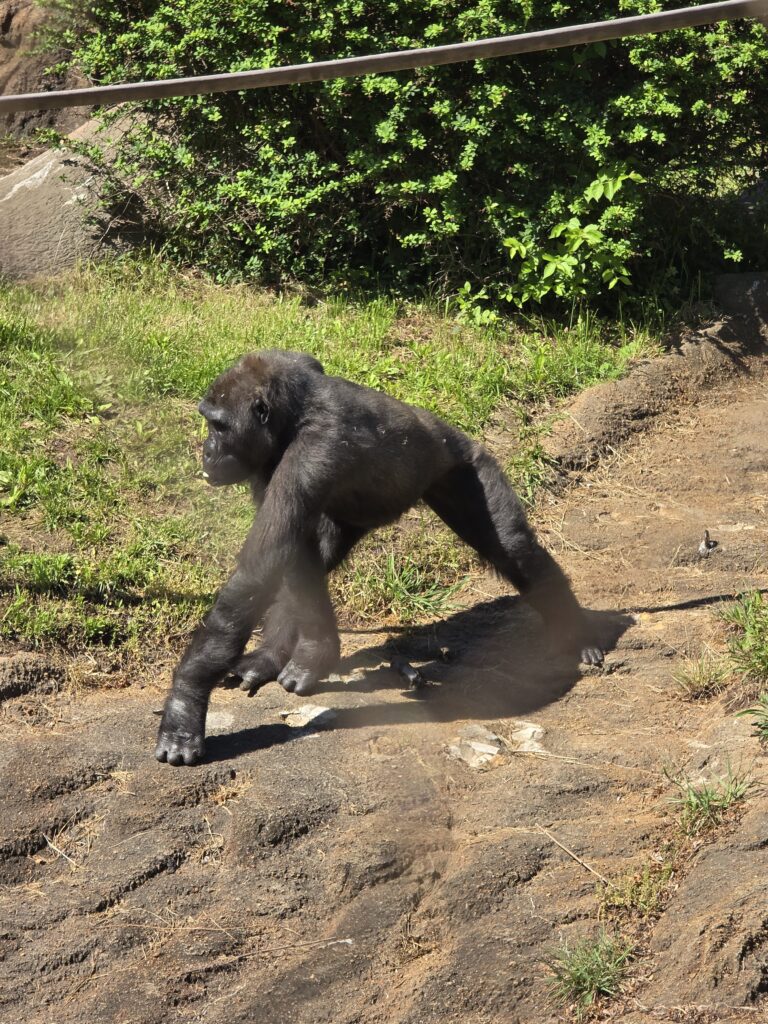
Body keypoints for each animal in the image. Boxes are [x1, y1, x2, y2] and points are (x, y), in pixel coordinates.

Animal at [155, 349, 602, 765]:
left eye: (219, 425)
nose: (207, 450)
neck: (292, 417)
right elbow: (290, 556)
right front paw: (304, 653)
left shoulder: (313, 450)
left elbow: (258, 569)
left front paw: (184, 705)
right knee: (316, 555)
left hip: (468, 466)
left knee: (514, 549)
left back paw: (576, 631)